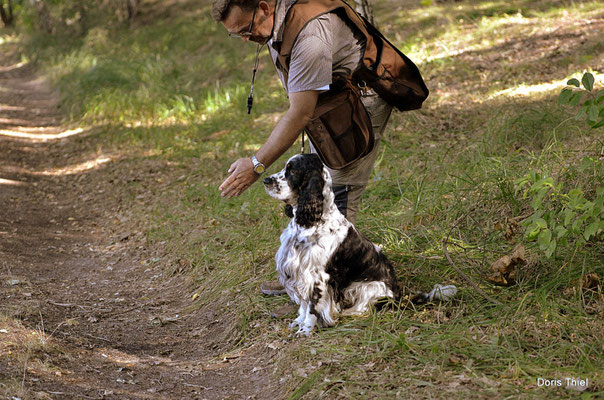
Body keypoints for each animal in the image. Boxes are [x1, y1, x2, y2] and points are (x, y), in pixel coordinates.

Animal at [264, 155, 402, 336]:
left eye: (292, 171)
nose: (266, 180)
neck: (315, 221)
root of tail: (399, 294)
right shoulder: (299, 273)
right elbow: (303, 305)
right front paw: (299, 321)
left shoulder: (317, 276)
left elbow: (312, 308)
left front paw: (305, 330)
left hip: (372, 287)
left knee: (365, 308)